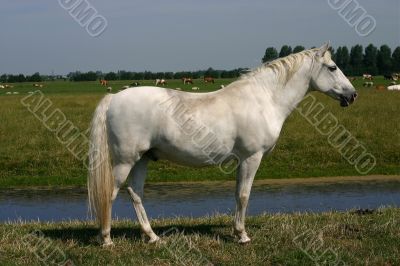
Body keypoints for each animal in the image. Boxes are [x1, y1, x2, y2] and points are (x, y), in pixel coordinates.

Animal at [86, 43, 356, 245]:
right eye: (332, 67)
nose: (352, 95)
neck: (262, 99)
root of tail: (114, 98)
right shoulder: (251, 157)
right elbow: (244, 195)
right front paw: (243, 236)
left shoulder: (242, 160)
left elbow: (237, 194)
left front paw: (237, 232)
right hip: (125, 161)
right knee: (110, 193)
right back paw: (107, 239)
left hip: (142, 159)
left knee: (135, 193)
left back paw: (152, 237)